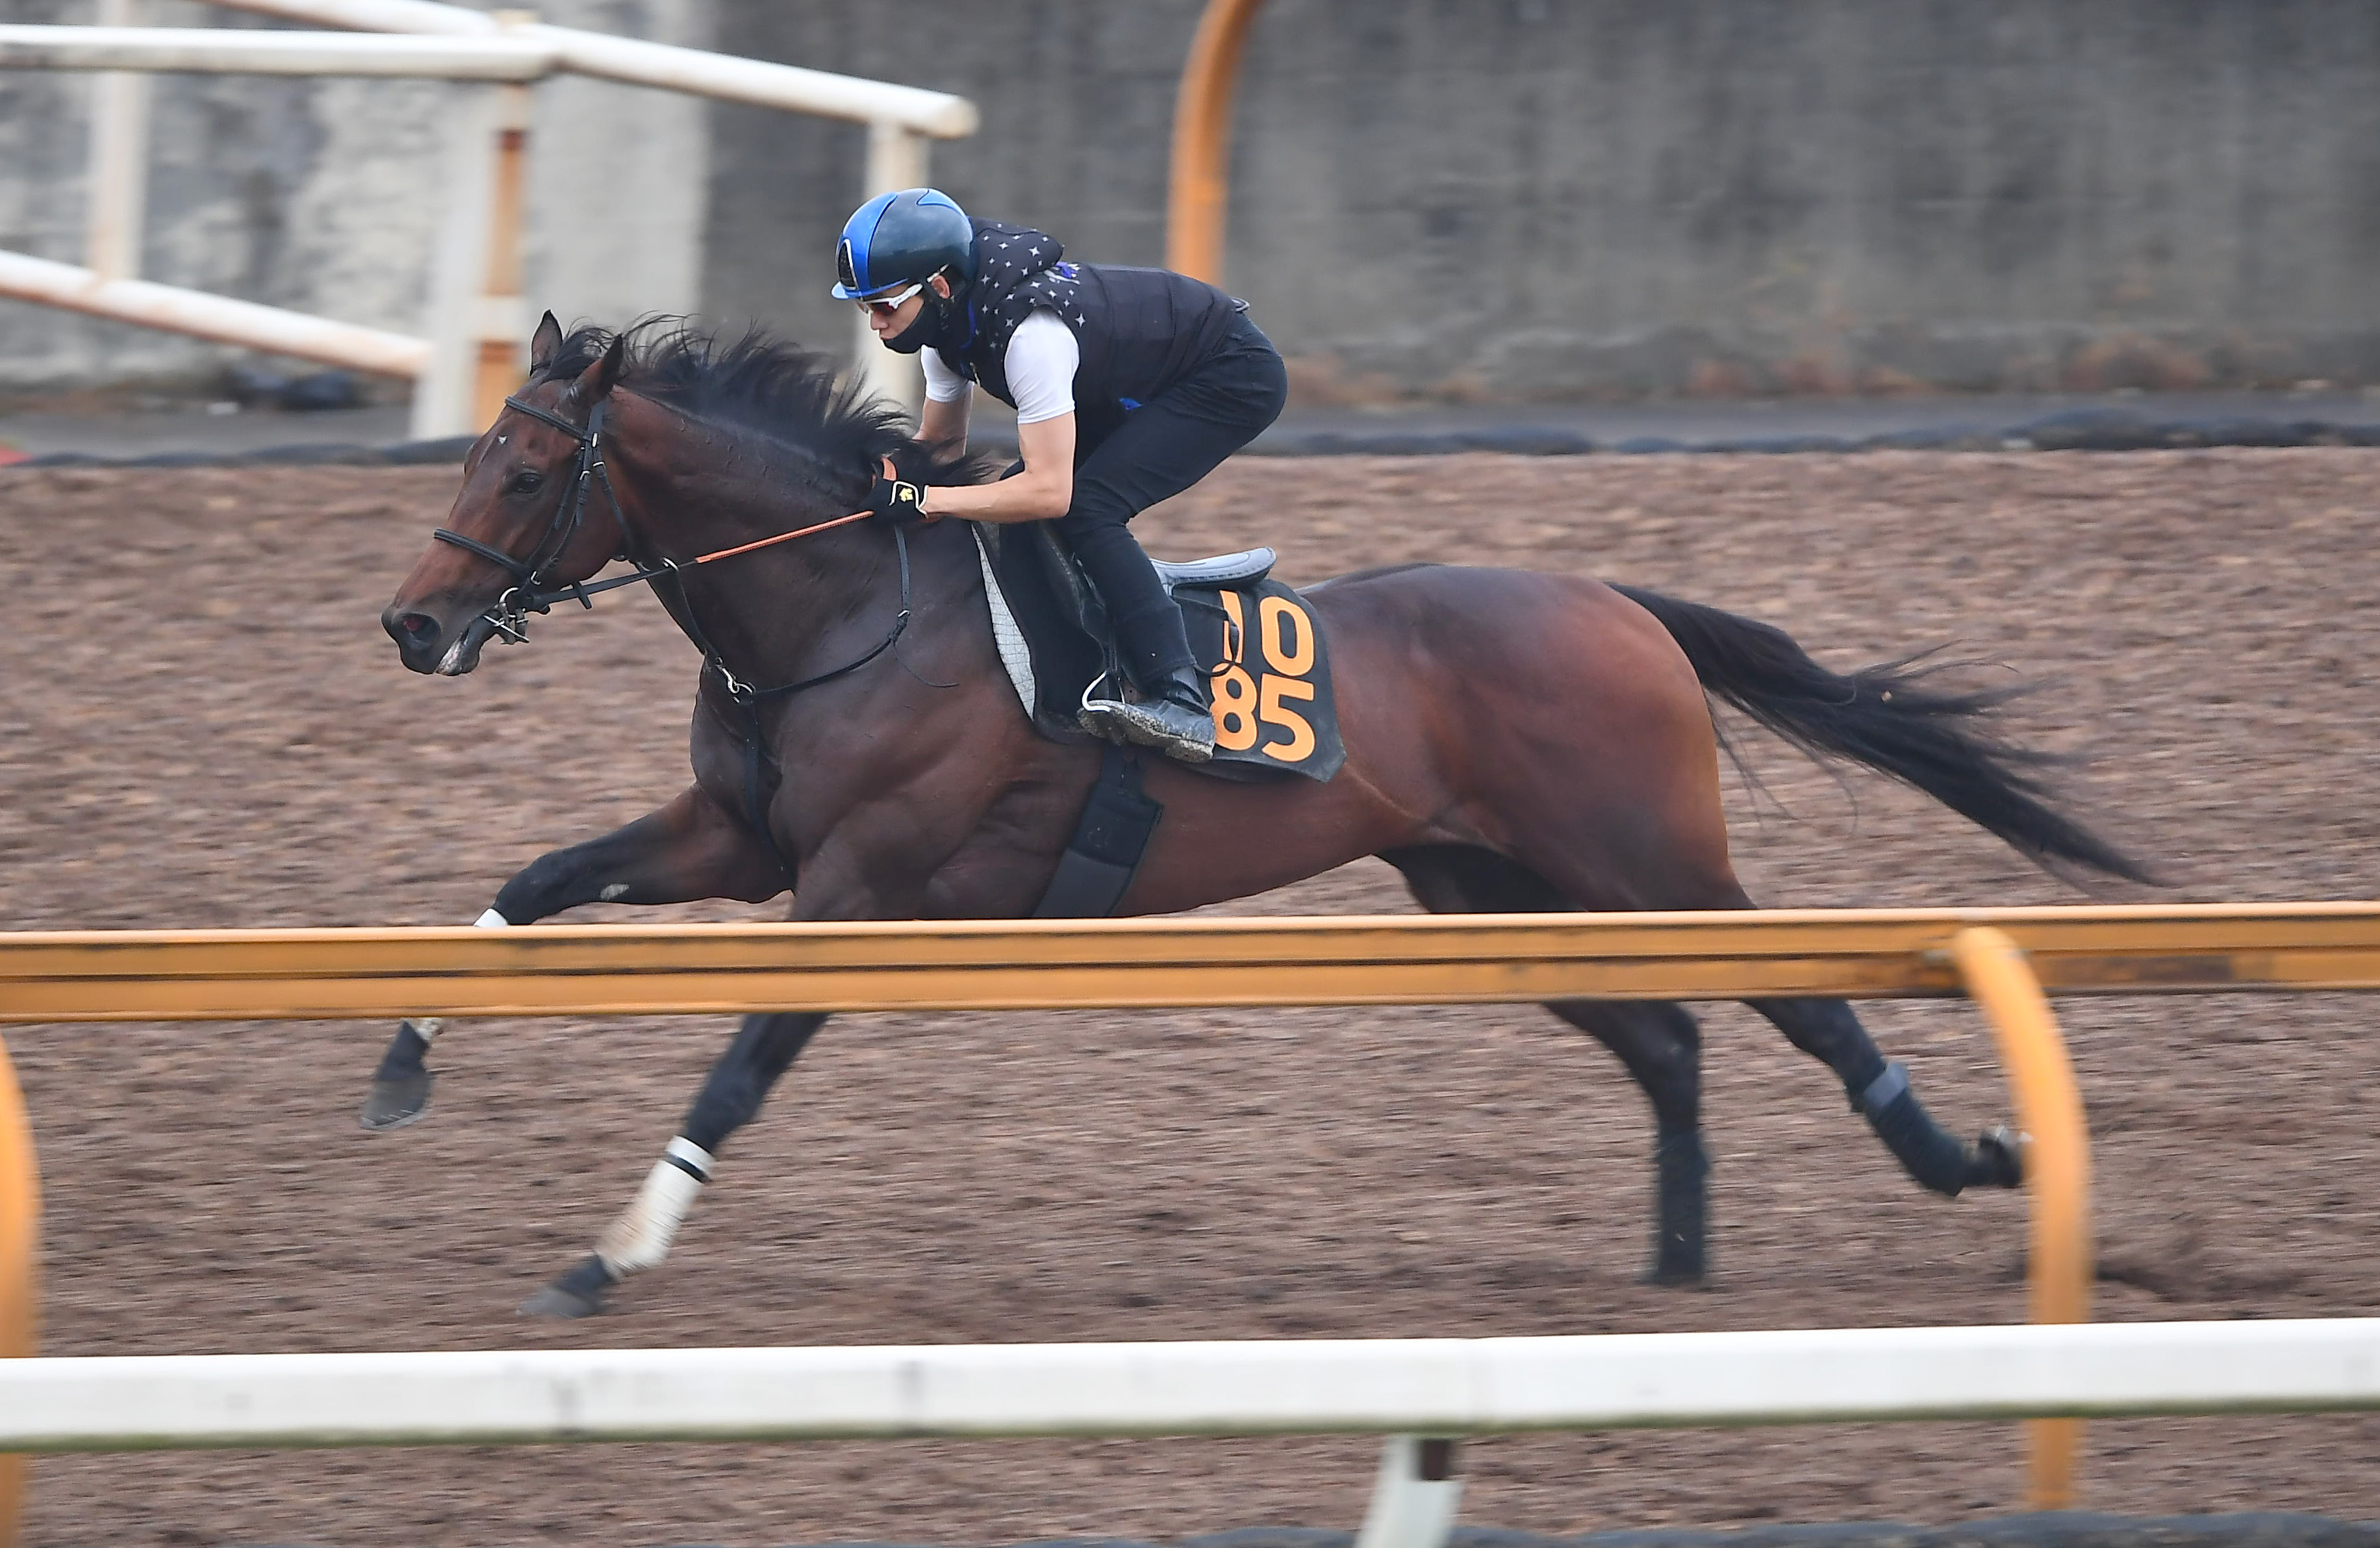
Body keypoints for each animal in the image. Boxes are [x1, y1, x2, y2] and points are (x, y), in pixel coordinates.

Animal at [376, 316, 2161, 1315]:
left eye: (523, 471)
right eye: (469, 453)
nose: (411, 624)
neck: (838, 605)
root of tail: (1615, 602)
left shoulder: (859, 886)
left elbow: (737, 1069)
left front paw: (610, 1256)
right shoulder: (740, 844)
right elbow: (535, 880)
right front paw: (398, 1064)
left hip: (1644, 860)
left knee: (1799, 993)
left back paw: (1959, 1157)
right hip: (1485, 890)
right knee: (1664, 1038)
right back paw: (1670, 1266)